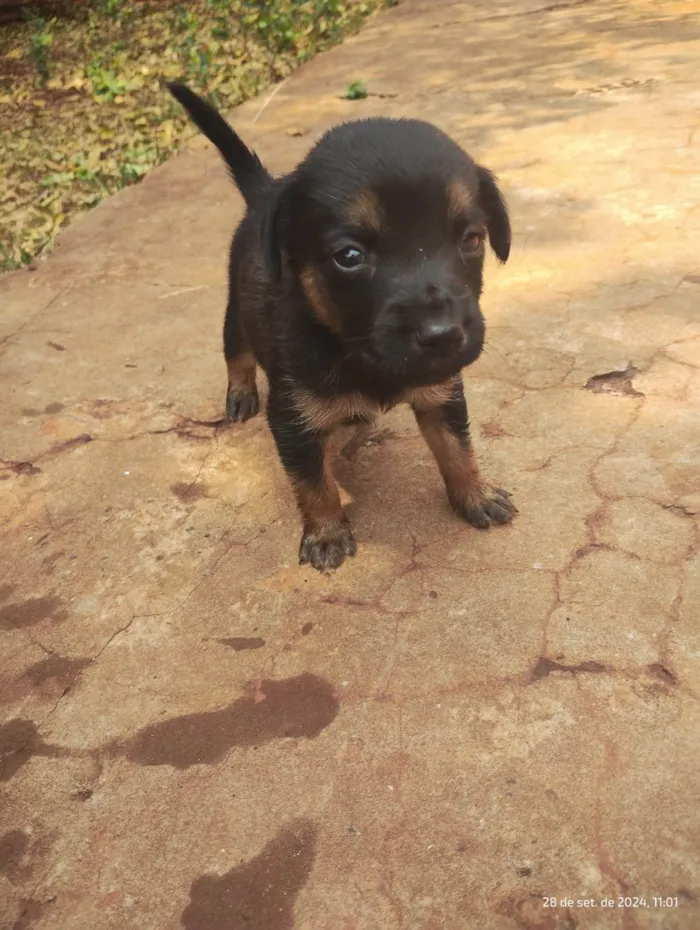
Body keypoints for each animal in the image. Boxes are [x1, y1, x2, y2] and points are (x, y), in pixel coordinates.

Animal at [167, 83, 516, 568]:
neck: (355, 351)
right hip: (236, 313)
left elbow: (458, 450)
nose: (443, 336)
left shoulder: (441, 396)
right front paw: (327, 533)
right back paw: (240, 395)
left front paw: (475, 495)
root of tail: (265, 194)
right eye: (348, 256)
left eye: (472, 239)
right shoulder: (292, 421)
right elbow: (314, 485)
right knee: (236, 353)